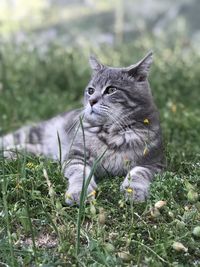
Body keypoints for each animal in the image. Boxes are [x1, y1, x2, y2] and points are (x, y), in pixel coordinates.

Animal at [0, 52, 164, 207]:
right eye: (90, 90)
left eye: (111, 89)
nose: (91, 101)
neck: (111, 133)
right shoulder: (76, 156)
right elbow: (80, 174)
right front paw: (79, 192)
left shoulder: (153, 162)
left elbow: (138, 173)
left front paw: (133, 191)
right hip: (35, 132)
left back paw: (10, 154)